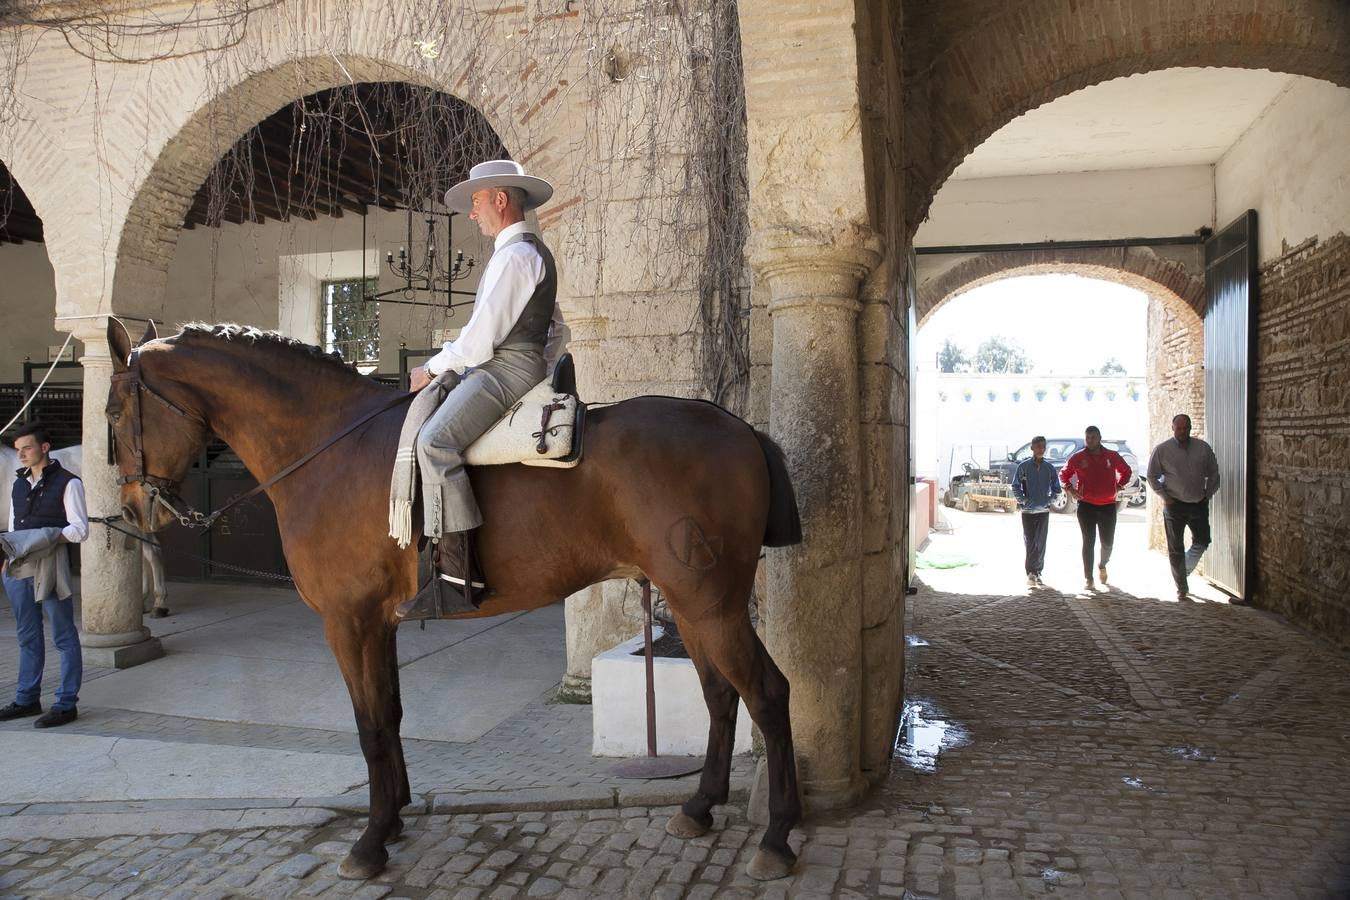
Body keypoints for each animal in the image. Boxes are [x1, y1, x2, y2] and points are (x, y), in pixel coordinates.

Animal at [105, 322, 804, 879]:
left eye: (112, 412)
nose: (134, 510)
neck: (330, 445)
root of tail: (739, 427)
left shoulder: (348, 622)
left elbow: (367, 724)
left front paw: (369, 842)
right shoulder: (378, 624)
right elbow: (389, 715)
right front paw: (391, 819)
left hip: (710, 605)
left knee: (768, 693)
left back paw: (777, 836)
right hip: (692, 606)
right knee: (722, 696)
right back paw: (700, 806)